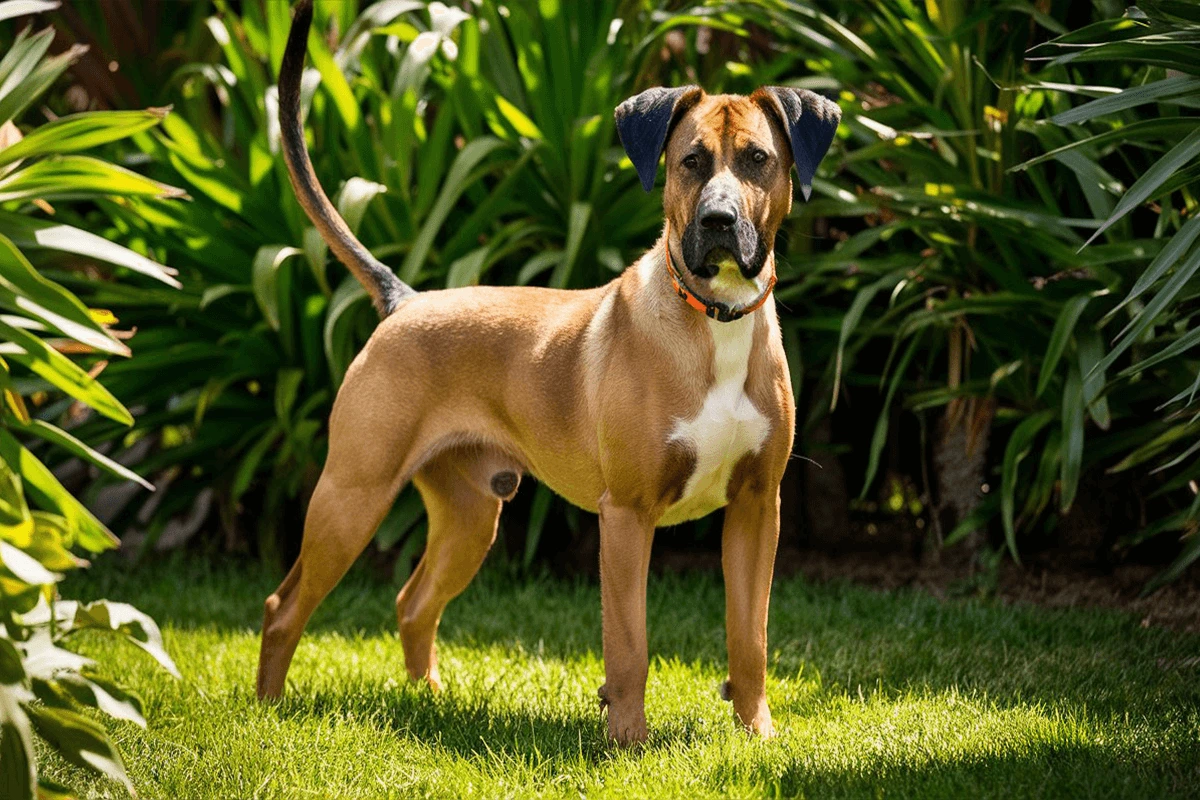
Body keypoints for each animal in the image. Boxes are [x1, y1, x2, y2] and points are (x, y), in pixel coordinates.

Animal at [258, 1, 840, 753]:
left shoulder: (755, 509)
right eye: (690, 161)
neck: (714, 319)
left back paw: (429, 701)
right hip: (351, 498)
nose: (718, 221)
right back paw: (268, 709)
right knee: (284, 605)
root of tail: (406, 300)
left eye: (757, 160)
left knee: (414, 602)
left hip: (471, 514)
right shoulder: (626, 517)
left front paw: (757, 735)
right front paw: (628, 743)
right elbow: (629, 646)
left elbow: (750, 642)